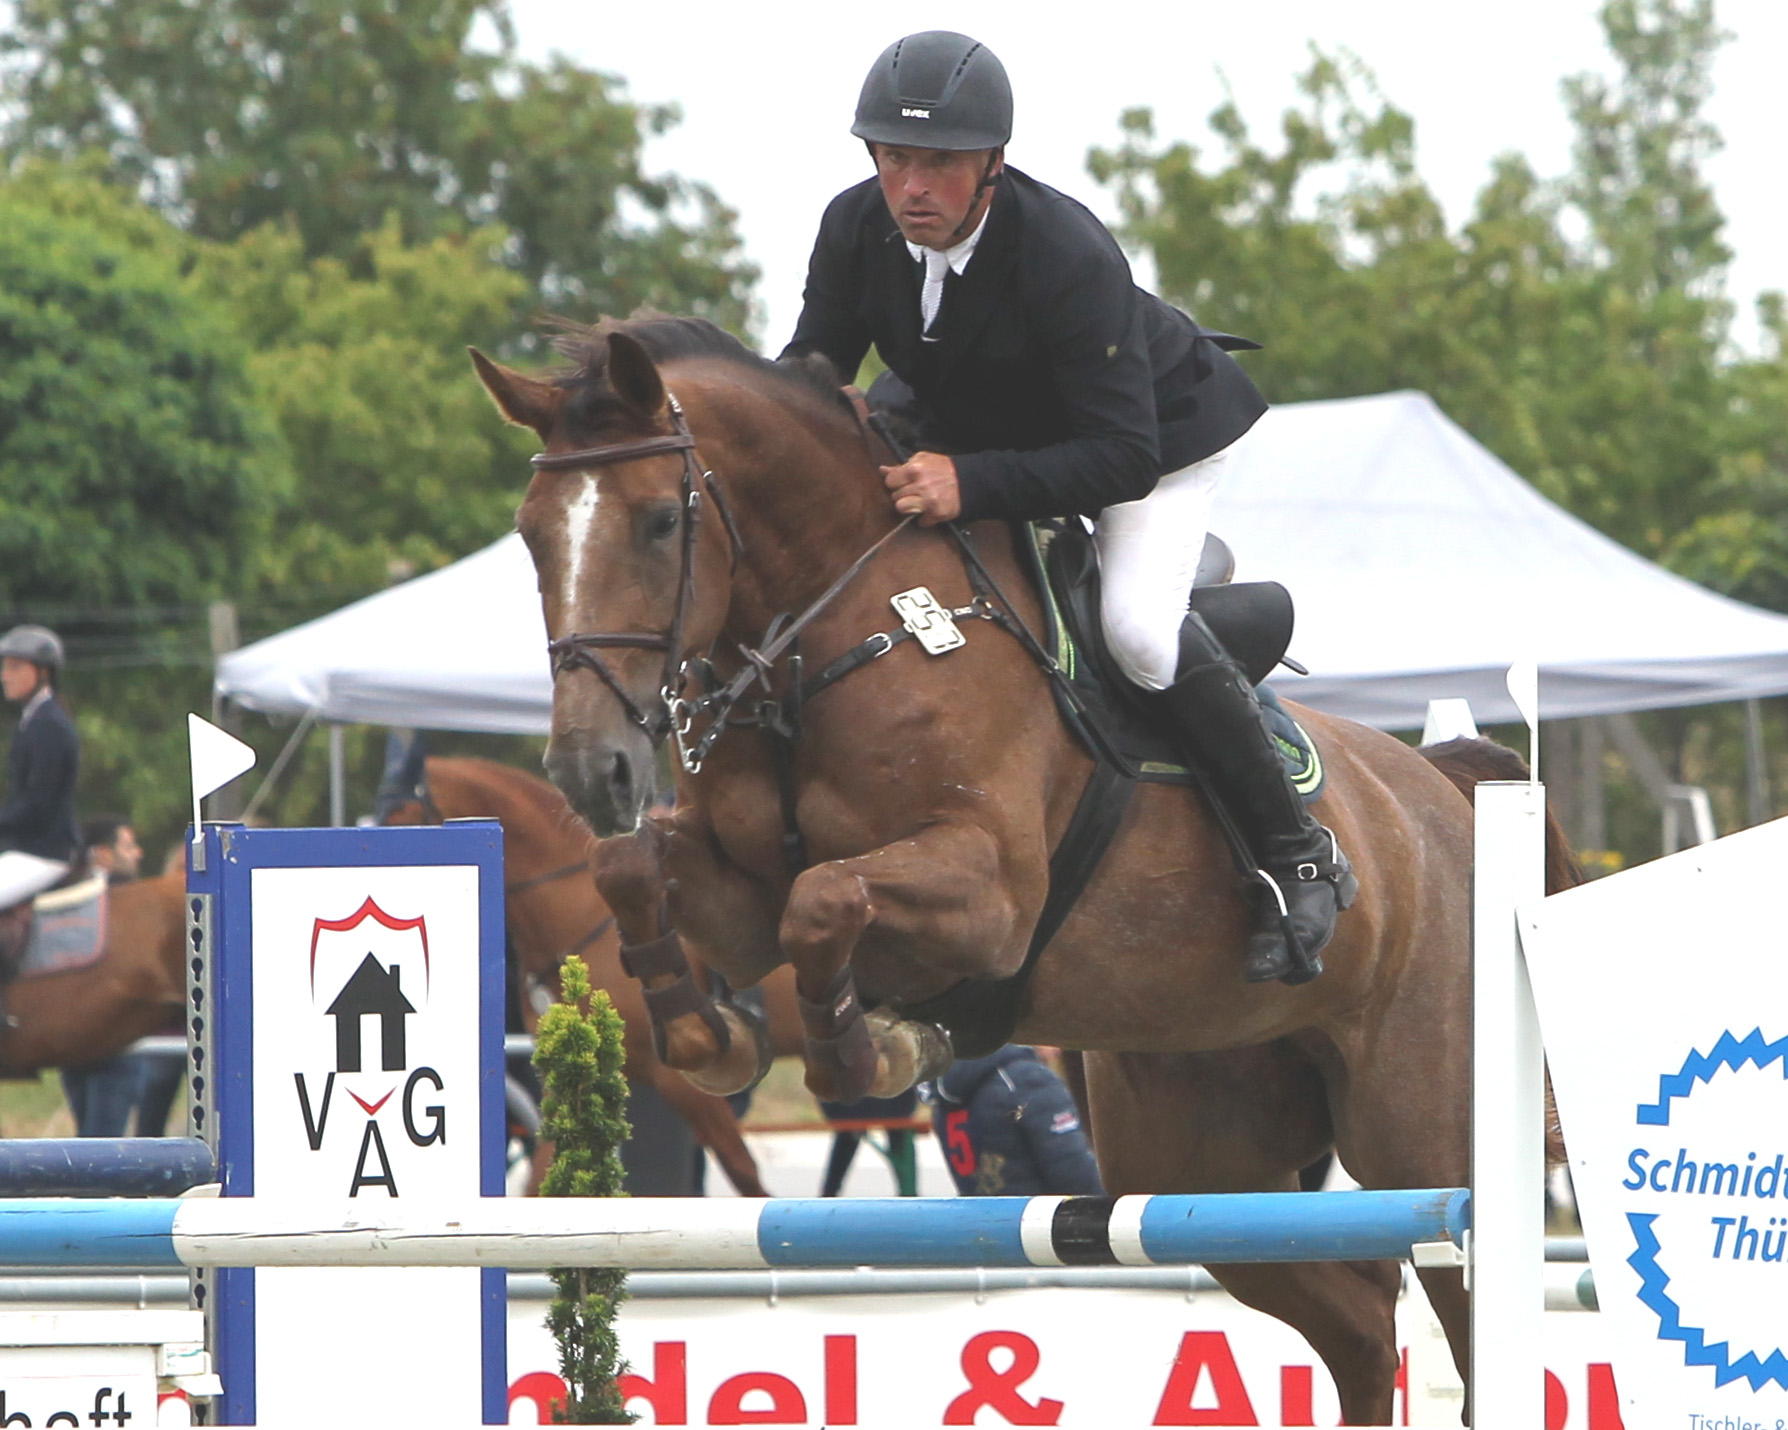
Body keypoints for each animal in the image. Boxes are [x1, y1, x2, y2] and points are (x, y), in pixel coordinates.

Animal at [472, 312, 1566, 1415]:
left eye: (660, 521)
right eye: (530, 535)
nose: (590, 767)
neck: (833, 635)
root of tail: (1442, 790)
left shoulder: (988, 892)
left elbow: (823, 900)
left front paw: (874, 1048)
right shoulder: (737, 895)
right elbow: (638, 872)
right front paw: (715, 1030)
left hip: (1420, 1133)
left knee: (1449, 1308)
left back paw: (1301, 894)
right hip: (1204, 1148)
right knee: (1361, 1322)